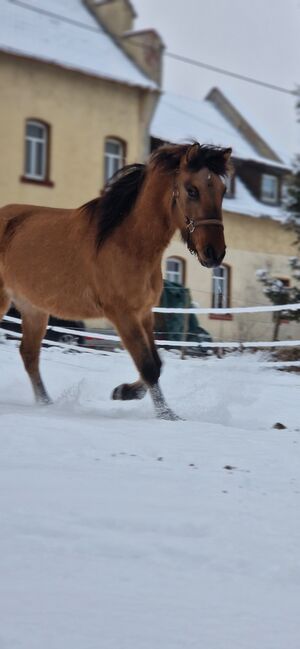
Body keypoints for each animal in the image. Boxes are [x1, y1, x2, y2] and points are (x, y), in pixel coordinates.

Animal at [0, 140, 232, 420]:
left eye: (222, 190)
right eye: (192, 190)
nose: (214, 253)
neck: (128, 243)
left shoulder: (144, 313)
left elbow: (157, 363)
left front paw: (123, 391)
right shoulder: (122, 314)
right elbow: (148, 365)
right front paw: (166, 415)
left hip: (33, 309)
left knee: (29, 355)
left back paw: (46, 403)